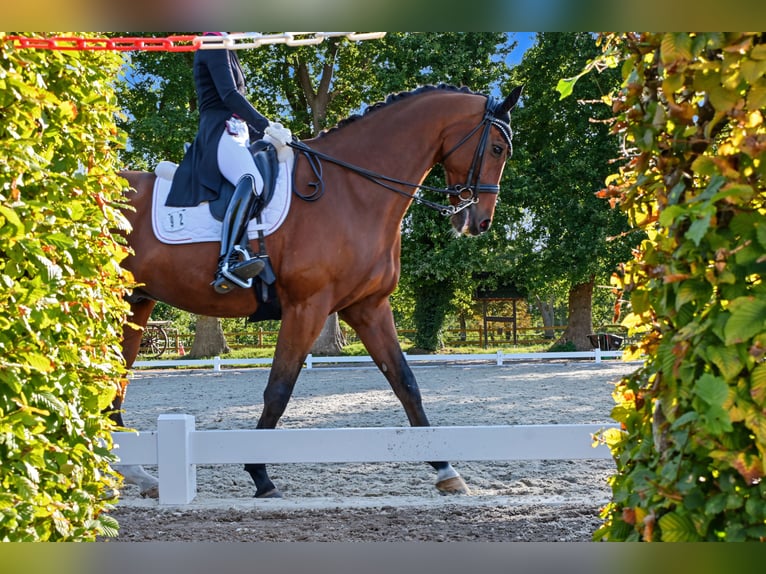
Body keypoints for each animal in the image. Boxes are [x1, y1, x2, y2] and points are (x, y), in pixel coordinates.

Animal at [113, 83, 523, 499]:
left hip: (135, 305)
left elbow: (406, 382)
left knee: (115, 383)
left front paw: (446, 469)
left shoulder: (369, 307)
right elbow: (279, 389)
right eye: (497, 149)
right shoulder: (307, 306)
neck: (354, 191)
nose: (479, 221)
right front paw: (260, 475)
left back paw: (136, 474)